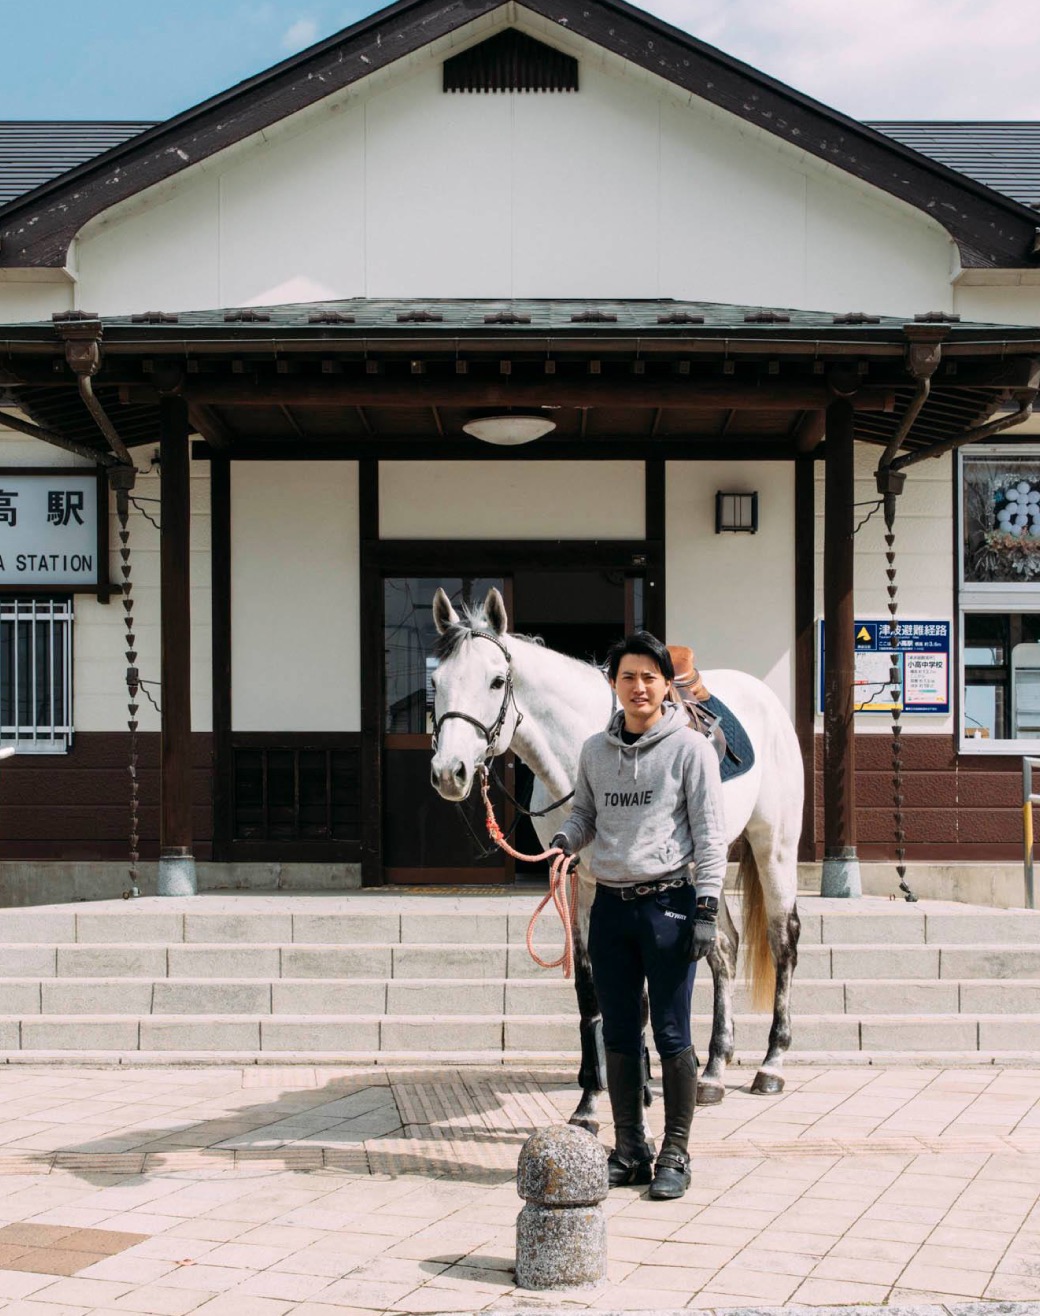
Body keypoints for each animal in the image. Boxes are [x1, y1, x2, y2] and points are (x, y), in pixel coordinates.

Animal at [428, 586, 802, 1130]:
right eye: (436, 682)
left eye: (497, 680)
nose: (449, 772)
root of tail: (766, 698)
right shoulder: (578, 882)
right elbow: (592, 993)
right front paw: (589, 1101)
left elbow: (641, 995)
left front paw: (640, 1090)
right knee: (724, 948)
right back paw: (713, 1069)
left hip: (773, 845)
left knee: (782, 942)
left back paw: (771, 1063)